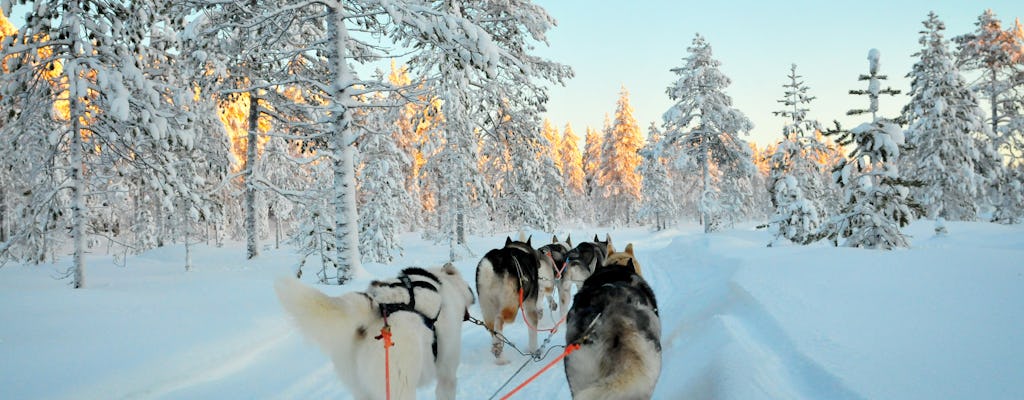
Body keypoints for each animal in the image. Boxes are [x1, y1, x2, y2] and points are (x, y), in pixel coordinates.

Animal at [477, 236, 557, 364]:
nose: (539, 264)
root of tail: (493, 262)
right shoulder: (530, 308)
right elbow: (533, 333)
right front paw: (534, 352)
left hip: (487, 308)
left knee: (492, 328)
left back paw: (500, 355)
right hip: (511, 307)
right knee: (499, 319)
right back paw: (498, 344)